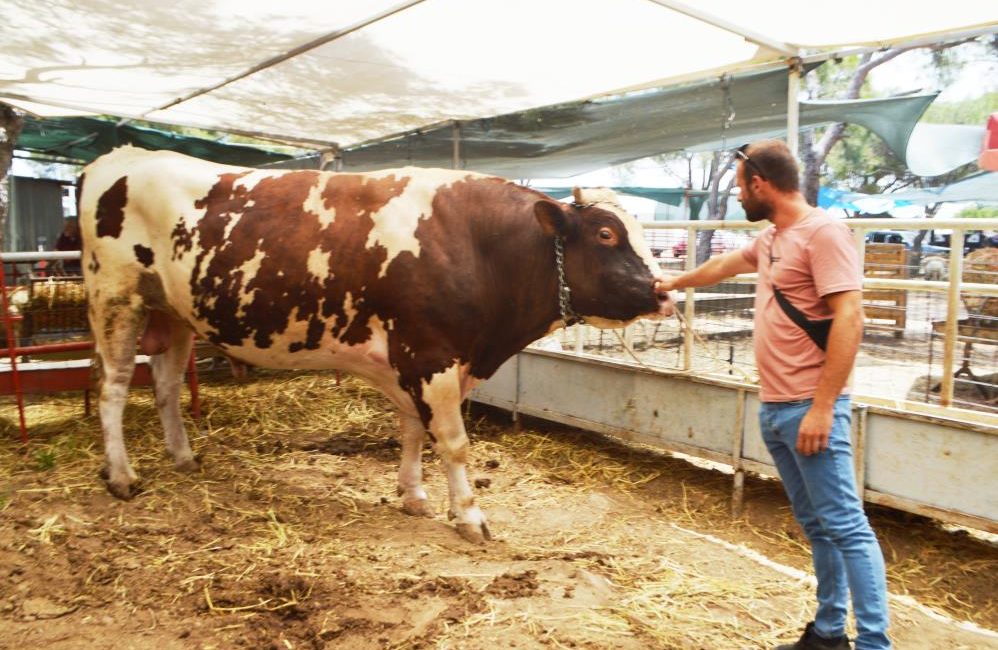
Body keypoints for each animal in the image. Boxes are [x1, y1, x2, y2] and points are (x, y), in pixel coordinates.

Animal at [76, 146, 672, 540]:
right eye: (606, 234)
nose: (663, 292)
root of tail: (120, 156)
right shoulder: (431, 355)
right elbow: (452, 441)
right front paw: (470, 515)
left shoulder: (412, 359)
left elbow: (411, 430)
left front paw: (414, 495)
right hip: (116, 297)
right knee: (114, 387)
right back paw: (122, 475)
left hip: (173, 311)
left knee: (167, 386)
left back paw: (182, 457)